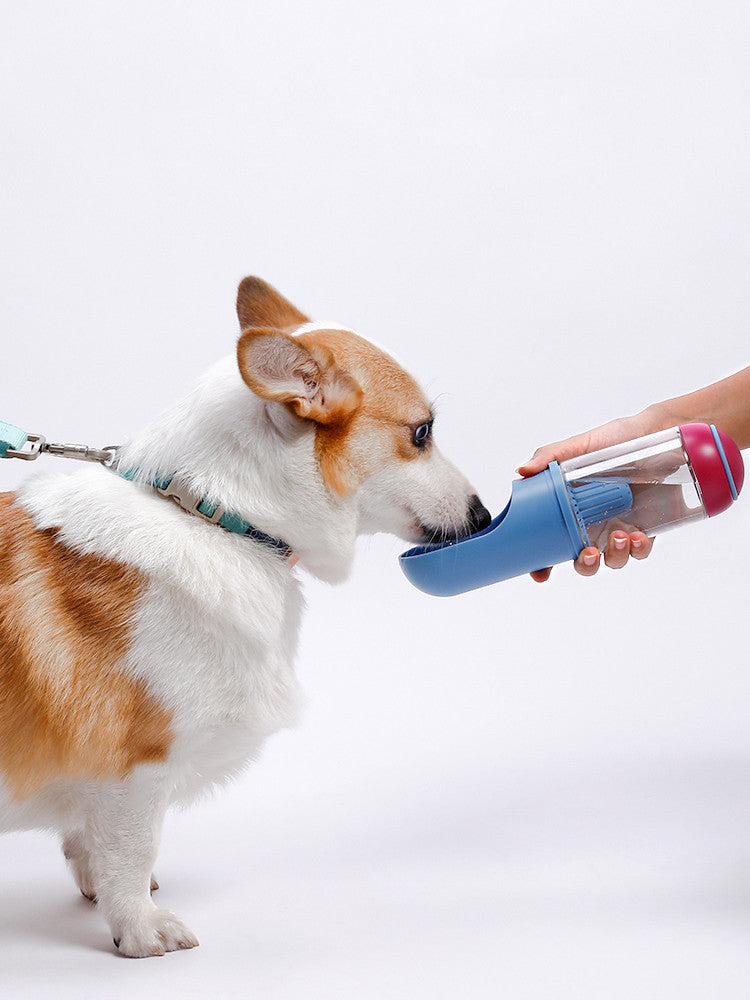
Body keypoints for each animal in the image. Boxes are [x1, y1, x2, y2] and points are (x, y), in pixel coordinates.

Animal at [0, 278, 490, 956]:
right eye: (422, 433)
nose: (484, 514)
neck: (215, 517)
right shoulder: (137, 769)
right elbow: (131, 851)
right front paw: (140, 930)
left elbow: (89, 843)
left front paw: (98, 888)